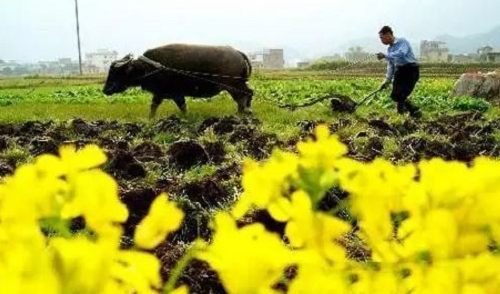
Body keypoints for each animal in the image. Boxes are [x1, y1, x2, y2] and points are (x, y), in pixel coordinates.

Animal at [104, 43, 254, 118]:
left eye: (115, 72)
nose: (105, 90)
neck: (149, 67)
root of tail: (238, 53)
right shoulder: (162, 94)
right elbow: (155, 106)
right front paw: (150, 119)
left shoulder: (173, 93)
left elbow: (180, 107)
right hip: (239, 84)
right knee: (249, 93)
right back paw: (245, 112)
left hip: (232, 86)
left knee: (243, 97)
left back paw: (241, 113)